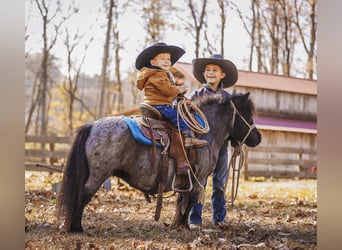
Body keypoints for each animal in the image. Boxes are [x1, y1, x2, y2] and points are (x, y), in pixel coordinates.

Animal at [56, 92, 260, 232]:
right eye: (248, 115)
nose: (258, 138)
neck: (205, 133)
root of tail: (92, 126)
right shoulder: (199, 178)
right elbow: (189, 201)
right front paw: (183, 227)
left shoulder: (185, 180)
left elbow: (181, 201)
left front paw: (177, 225)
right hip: (98, 174)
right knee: (83, 195)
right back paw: (76, 227)